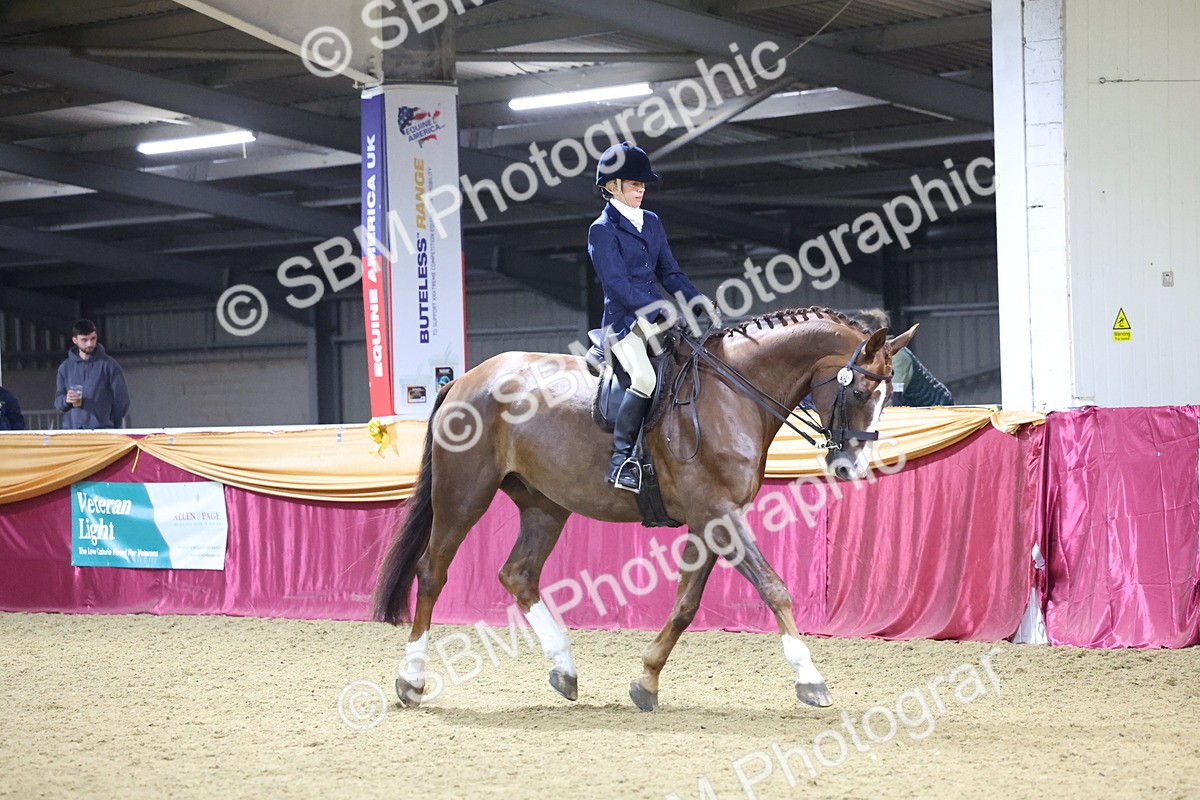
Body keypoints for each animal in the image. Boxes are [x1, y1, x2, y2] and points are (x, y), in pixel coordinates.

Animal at [373, 306, 916, 711]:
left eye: (889, 396)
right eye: (861, 391)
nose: (850, 466)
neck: (733, 393)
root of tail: (464, 380)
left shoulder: (709, 520)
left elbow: (685, 604)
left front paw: (646, 682)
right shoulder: (719, 513)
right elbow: (774, 588)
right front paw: (810, 678)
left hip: (545, 504)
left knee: (518, 573)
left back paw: (564, 669)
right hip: (464, 493)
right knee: (432, 572)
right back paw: (411, 680)